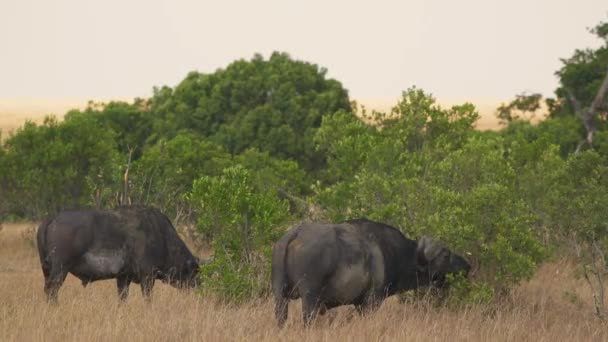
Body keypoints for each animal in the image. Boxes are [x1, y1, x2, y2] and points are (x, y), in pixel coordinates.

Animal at [36, 206, 201, 302]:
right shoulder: (147, 277)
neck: (161, 236)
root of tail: (53, 218)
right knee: (51, 290)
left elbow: (123, 298)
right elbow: (148, 298)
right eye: (194, 271)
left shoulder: (123, 278)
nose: (198, 285)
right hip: (60, 270)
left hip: (46, 270)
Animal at [270, 219, 470, 326]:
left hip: (280, 296)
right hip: (309, 298)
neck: (392, 252)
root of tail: (295, 234)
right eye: (446, 255)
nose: (467, 266)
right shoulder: (371, 301)